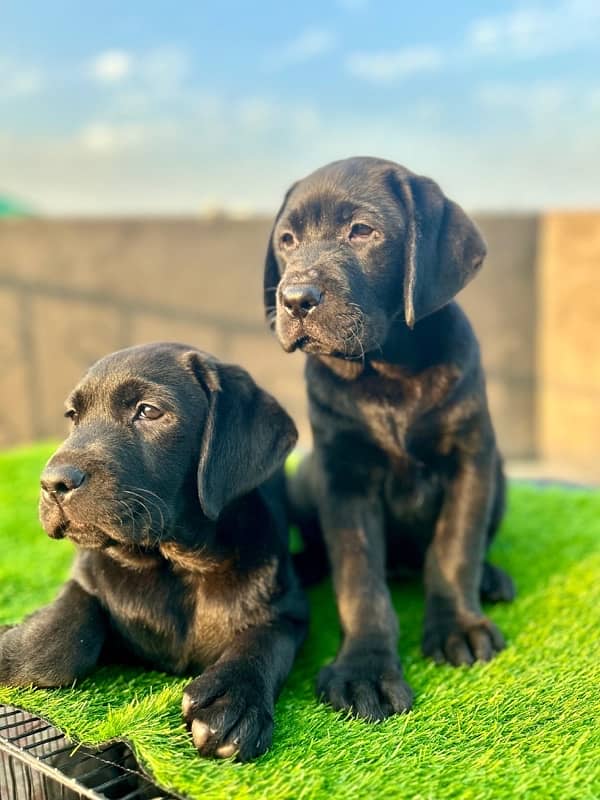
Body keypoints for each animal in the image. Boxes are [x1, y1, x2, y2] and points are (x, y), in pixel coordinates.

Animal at [0, 342, 310, 764]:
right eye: (73, 417)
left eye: (148, 411)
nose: (52, 483)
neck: (174, 563)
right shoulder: (86, 576)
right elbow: (57, 638)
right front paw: (12, 647)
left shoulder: (290, 609)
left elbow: (264, 639)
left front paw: (233, 697)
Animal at [264, 156, 516, 724]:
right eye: (287, 240)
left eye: (362, 231)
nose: (294, 299)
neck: (388, 367)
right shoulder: (344, 479)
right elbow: (360, 581)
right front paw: (365, 670)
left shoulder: (470, 460)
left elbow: (455, 549)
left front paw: (458, 626)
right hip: (305, 476)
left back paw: (491, 579)